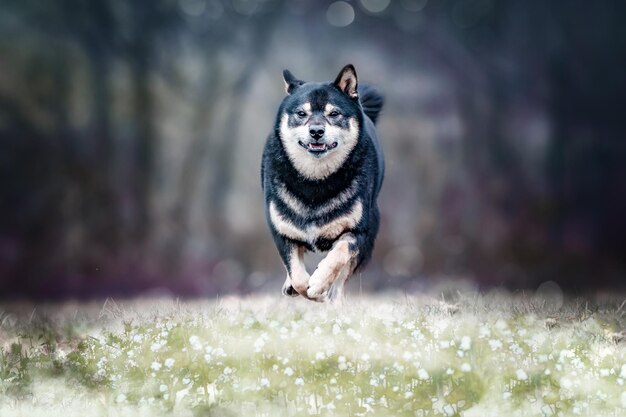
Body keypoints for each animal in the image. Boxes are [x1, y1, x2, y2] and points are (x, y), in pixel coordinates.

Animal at [258, 63, 380, 300]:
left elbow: (338, 255)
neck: (315, 181)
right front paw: (303, 286)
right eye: (301, 113)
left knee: (341, 280)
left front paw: (319, 284)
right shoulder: (281, 231)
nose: (316, 131)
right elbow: (296, 273)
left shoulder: (358, 232)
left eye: (334, 113)